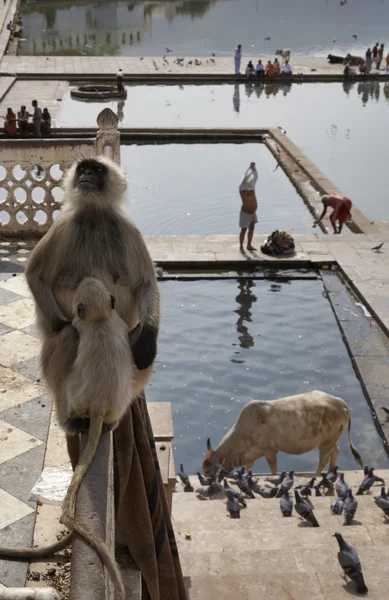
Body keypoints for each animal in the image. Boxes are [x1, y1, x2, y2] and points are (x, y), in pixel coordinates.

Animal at [202, 392, 362, 476]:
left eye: (208, 470)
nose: (205, 480)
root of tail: (340, 403)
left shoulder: (270, 451)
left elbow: (273, 470)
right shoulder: (251, 454)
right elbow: (249, 467)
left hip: (326, 442)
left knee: (324, 459)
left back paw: (317, 475)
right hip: (331, 439)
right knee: (335, 452)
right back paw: (329, 473)